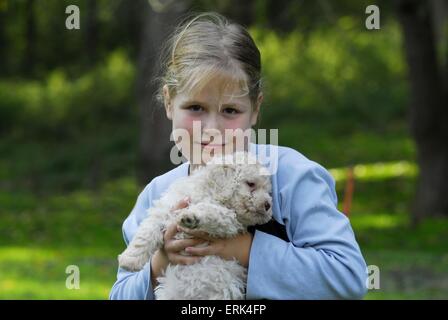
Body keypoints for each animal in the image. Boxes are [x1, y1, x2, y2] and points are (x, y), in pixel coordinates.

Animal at [117, 151, 272, 298]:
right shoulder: (164, 210)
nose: (268, 205)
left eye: (268, 191)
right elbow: (146, 233)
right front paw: (129, 260)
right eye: (251, 184)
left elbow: (211, 210)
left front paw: (191, 216)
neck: (210, 193)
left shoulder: (229, 220)